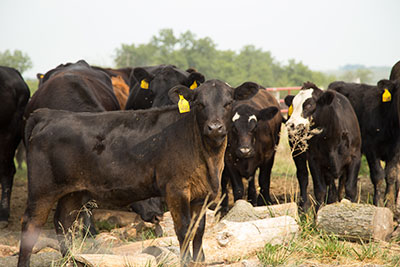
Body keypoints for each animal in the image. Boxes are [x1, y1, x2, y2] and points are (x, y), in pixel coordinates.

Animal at [17, 78, 258, 266]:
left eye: (228, 103)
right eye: (199, 103)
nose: (215, 127)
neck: (208, 157)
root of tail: (49, 115)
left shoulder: (203, 193)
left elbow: (198, 230)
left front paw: (199, 261)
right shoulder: (176, 190)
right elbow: (183, 229)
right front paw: (185, 262)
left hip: (73, 191)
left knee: (63, 222)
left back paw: (72, 260)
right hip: (42, 189)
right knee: (31, 226)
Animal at [220, 88, 282, 216]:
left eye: (255, 126)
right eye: (234, 127)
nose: (245, 150)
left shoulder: (269, 157)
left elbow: (264, 181)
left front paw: (264, 202)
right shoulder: (228, 160)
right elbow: (238, 188)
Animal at [284, 82, 362, 210]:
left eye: (309, 105)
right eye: (293, 105)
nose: (291, 124)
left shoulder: (355, 157)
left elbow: (350, 188)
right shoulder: (314, 160)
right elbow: (320, 190)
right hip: (297, 151)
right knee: (303, 176)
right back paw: (303, 207)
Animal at [328, 79, 400, 211]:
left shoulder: (395, 151)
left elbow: (391, 174)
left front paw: (389, 203)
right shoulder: (371, 149)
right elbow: (378, 175)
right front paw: (378, 202)